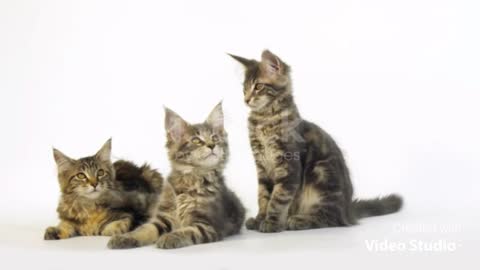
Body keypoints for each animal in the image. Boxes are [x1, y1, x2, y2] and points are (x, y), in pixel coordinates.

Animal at [108, 103, 246, 249]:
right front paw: (125, 237)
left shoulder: (208, 225)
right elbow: (144, 229)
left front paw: (169, 237)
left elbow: (188, 231)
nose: (212, 145)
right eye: (196, 140)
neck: (191, 178)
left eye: (215, 138)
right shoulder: (164, 217)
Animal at [231, 50, 404, 232]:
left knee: (331, 219)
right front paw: (259, 219)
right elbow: (263, 196)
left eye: (258, 87)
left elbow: (278, 198)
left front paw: (271, 222)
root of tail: (348, 210)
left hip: (321, 175)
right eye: (244, 89)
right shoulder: (262, 167)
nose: (246, 99)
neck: (264, 119)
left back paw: (298, 220)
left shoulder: (289, 166)